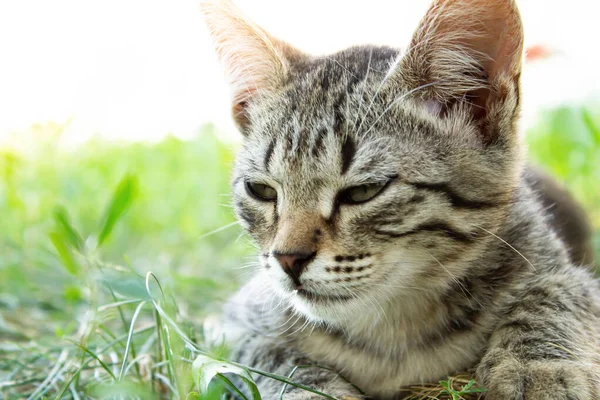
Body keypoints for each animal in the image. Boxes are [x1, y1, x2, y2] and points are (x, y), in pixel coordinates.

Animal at [202, 0, 600, 400]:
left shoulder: (564, 271)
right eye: (261, 190)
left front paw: (537, 366)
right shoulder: (231, 325)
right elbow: (274, 360)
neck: (394, 327)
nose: (288, 259)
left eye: (364, 191)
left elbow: (554, 295)